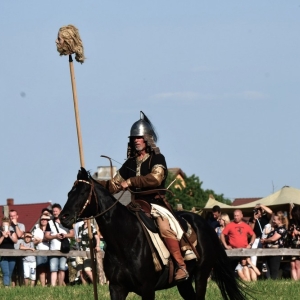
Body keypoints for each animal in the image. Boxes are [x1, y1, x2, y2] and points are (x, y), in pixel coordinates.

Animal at [59, 169, 247, 300]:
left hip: (201, 275)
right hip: (185, 283)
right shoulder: (117, 288)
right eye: (69, 193)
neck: (124, 241)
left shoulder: (147, 289)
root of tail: (204, 223)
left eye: (83, 193)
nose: (63, 217)